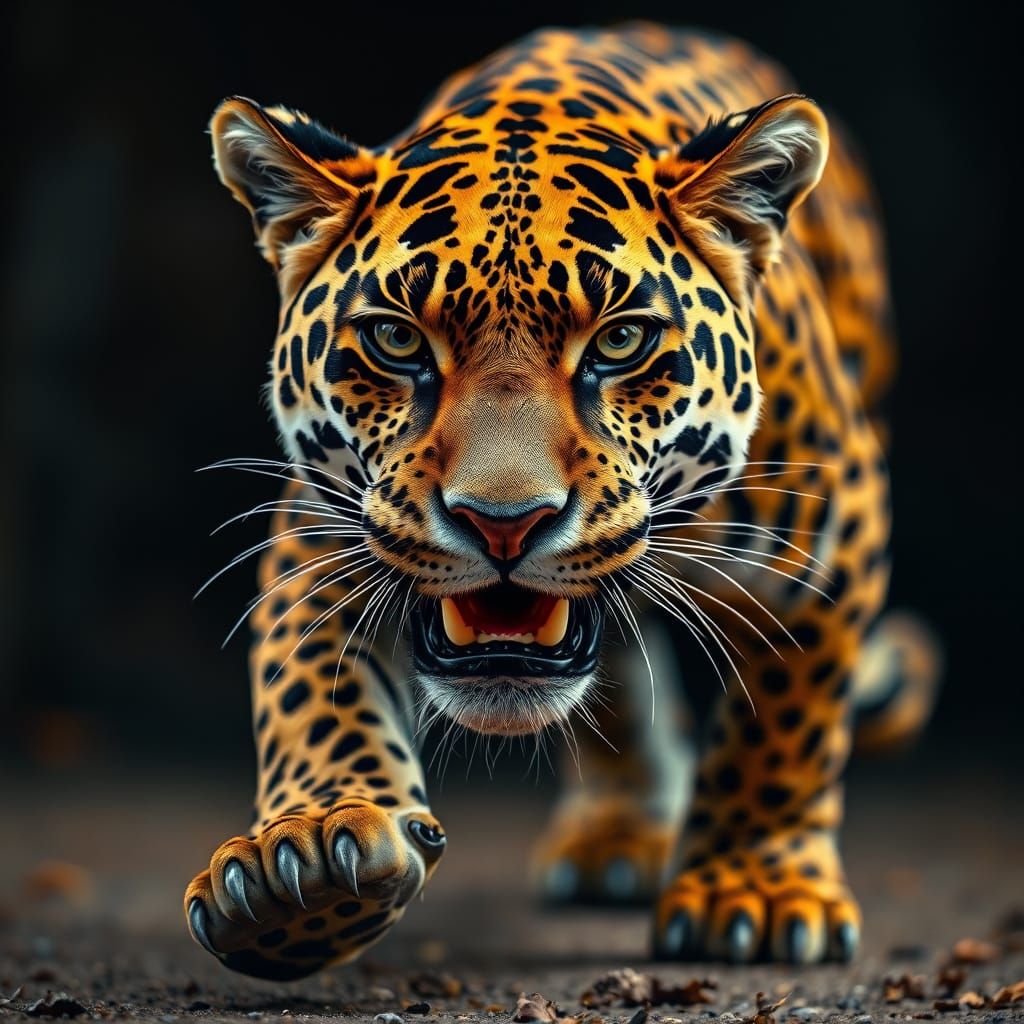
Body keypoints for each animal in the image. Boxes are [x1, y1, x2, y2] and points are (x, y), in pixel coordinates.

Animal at [184, 22, 940, 977]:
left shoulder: (835, 521)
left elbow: (783, 725)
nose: (503, 523)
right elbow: (310, 692)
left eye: (620, 341)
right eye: (395, 338)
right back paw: (616, 835)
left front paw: (753, 892)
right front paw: (310, 864)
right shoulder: (326, 524)